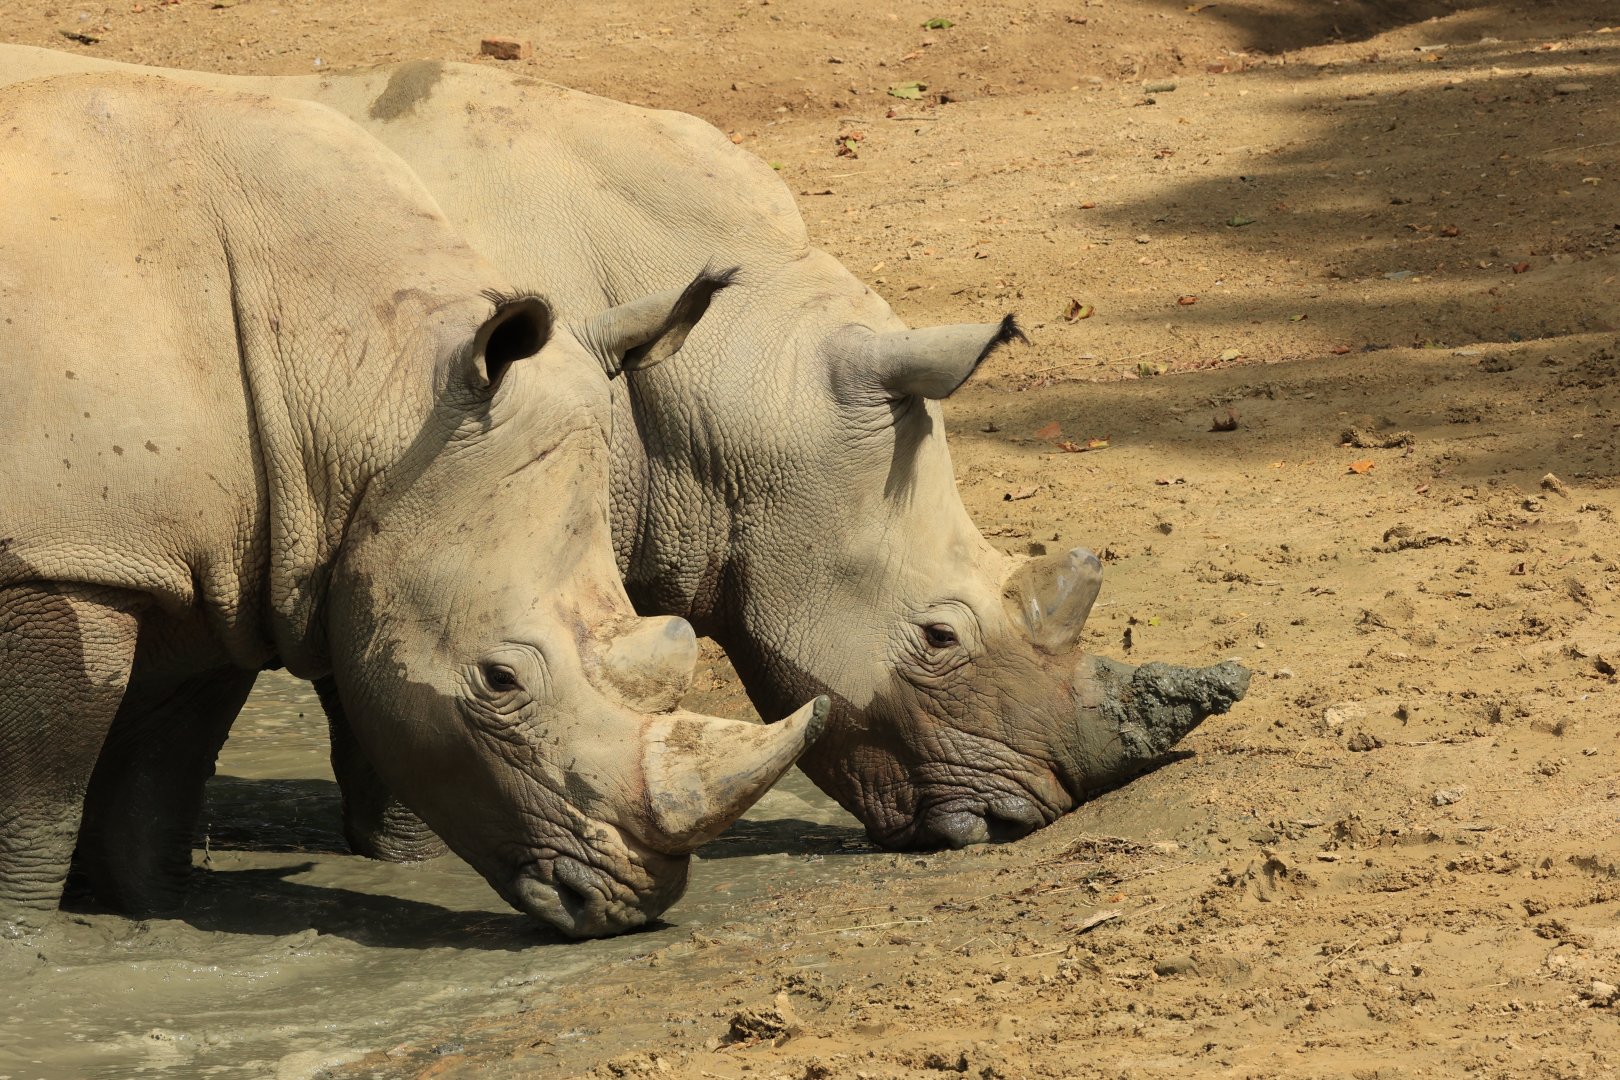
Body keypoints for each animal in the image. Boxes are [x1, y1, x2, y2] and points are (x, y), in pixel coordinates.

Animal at [0, 72, 825, 939]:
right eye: (499, 680)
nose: (634, 903)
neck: (371, 391)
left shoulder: (213, 566)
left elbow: (160, 772)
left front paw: (153, 913)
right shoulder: (62, 558)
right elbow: (41, 787)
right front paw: (27, 934)